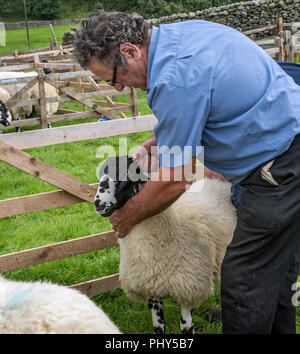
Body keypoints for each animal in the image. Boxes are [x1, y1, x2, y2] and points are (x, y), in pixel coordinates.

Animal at [94, 156, 237, 334]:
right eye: (100, 175)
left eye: (126, 176)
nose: (98, 204)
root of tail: (220, 183)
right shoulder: (152, 291)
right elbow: (158, 327)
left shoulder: (188, 289)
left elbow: (186, 327)